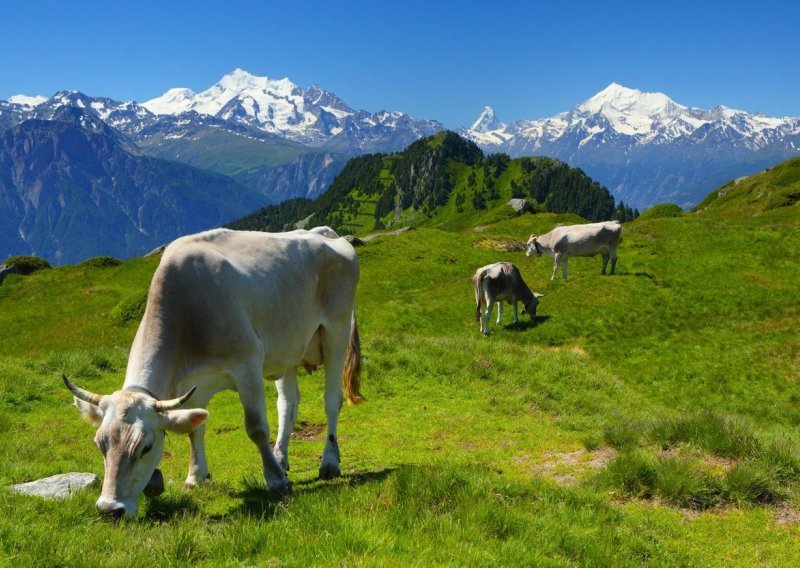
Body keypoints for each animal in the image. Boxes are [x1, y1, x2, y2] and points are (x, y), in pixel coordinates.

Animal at [62, 227, 362, 520]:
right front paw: (196, 476)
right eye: (100, 444)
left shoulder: (248, 364)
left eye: (145, 447)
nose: (110, 509)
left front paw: (275, 480)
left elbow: (256, 428)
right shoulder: (194, 384)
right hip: (288, 349)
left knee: (331, 399)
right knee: (288, 404)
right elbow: (195, 429)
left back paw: (329, 462)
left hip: (336, 330)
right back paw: (281, 457)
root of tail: (326, 233)